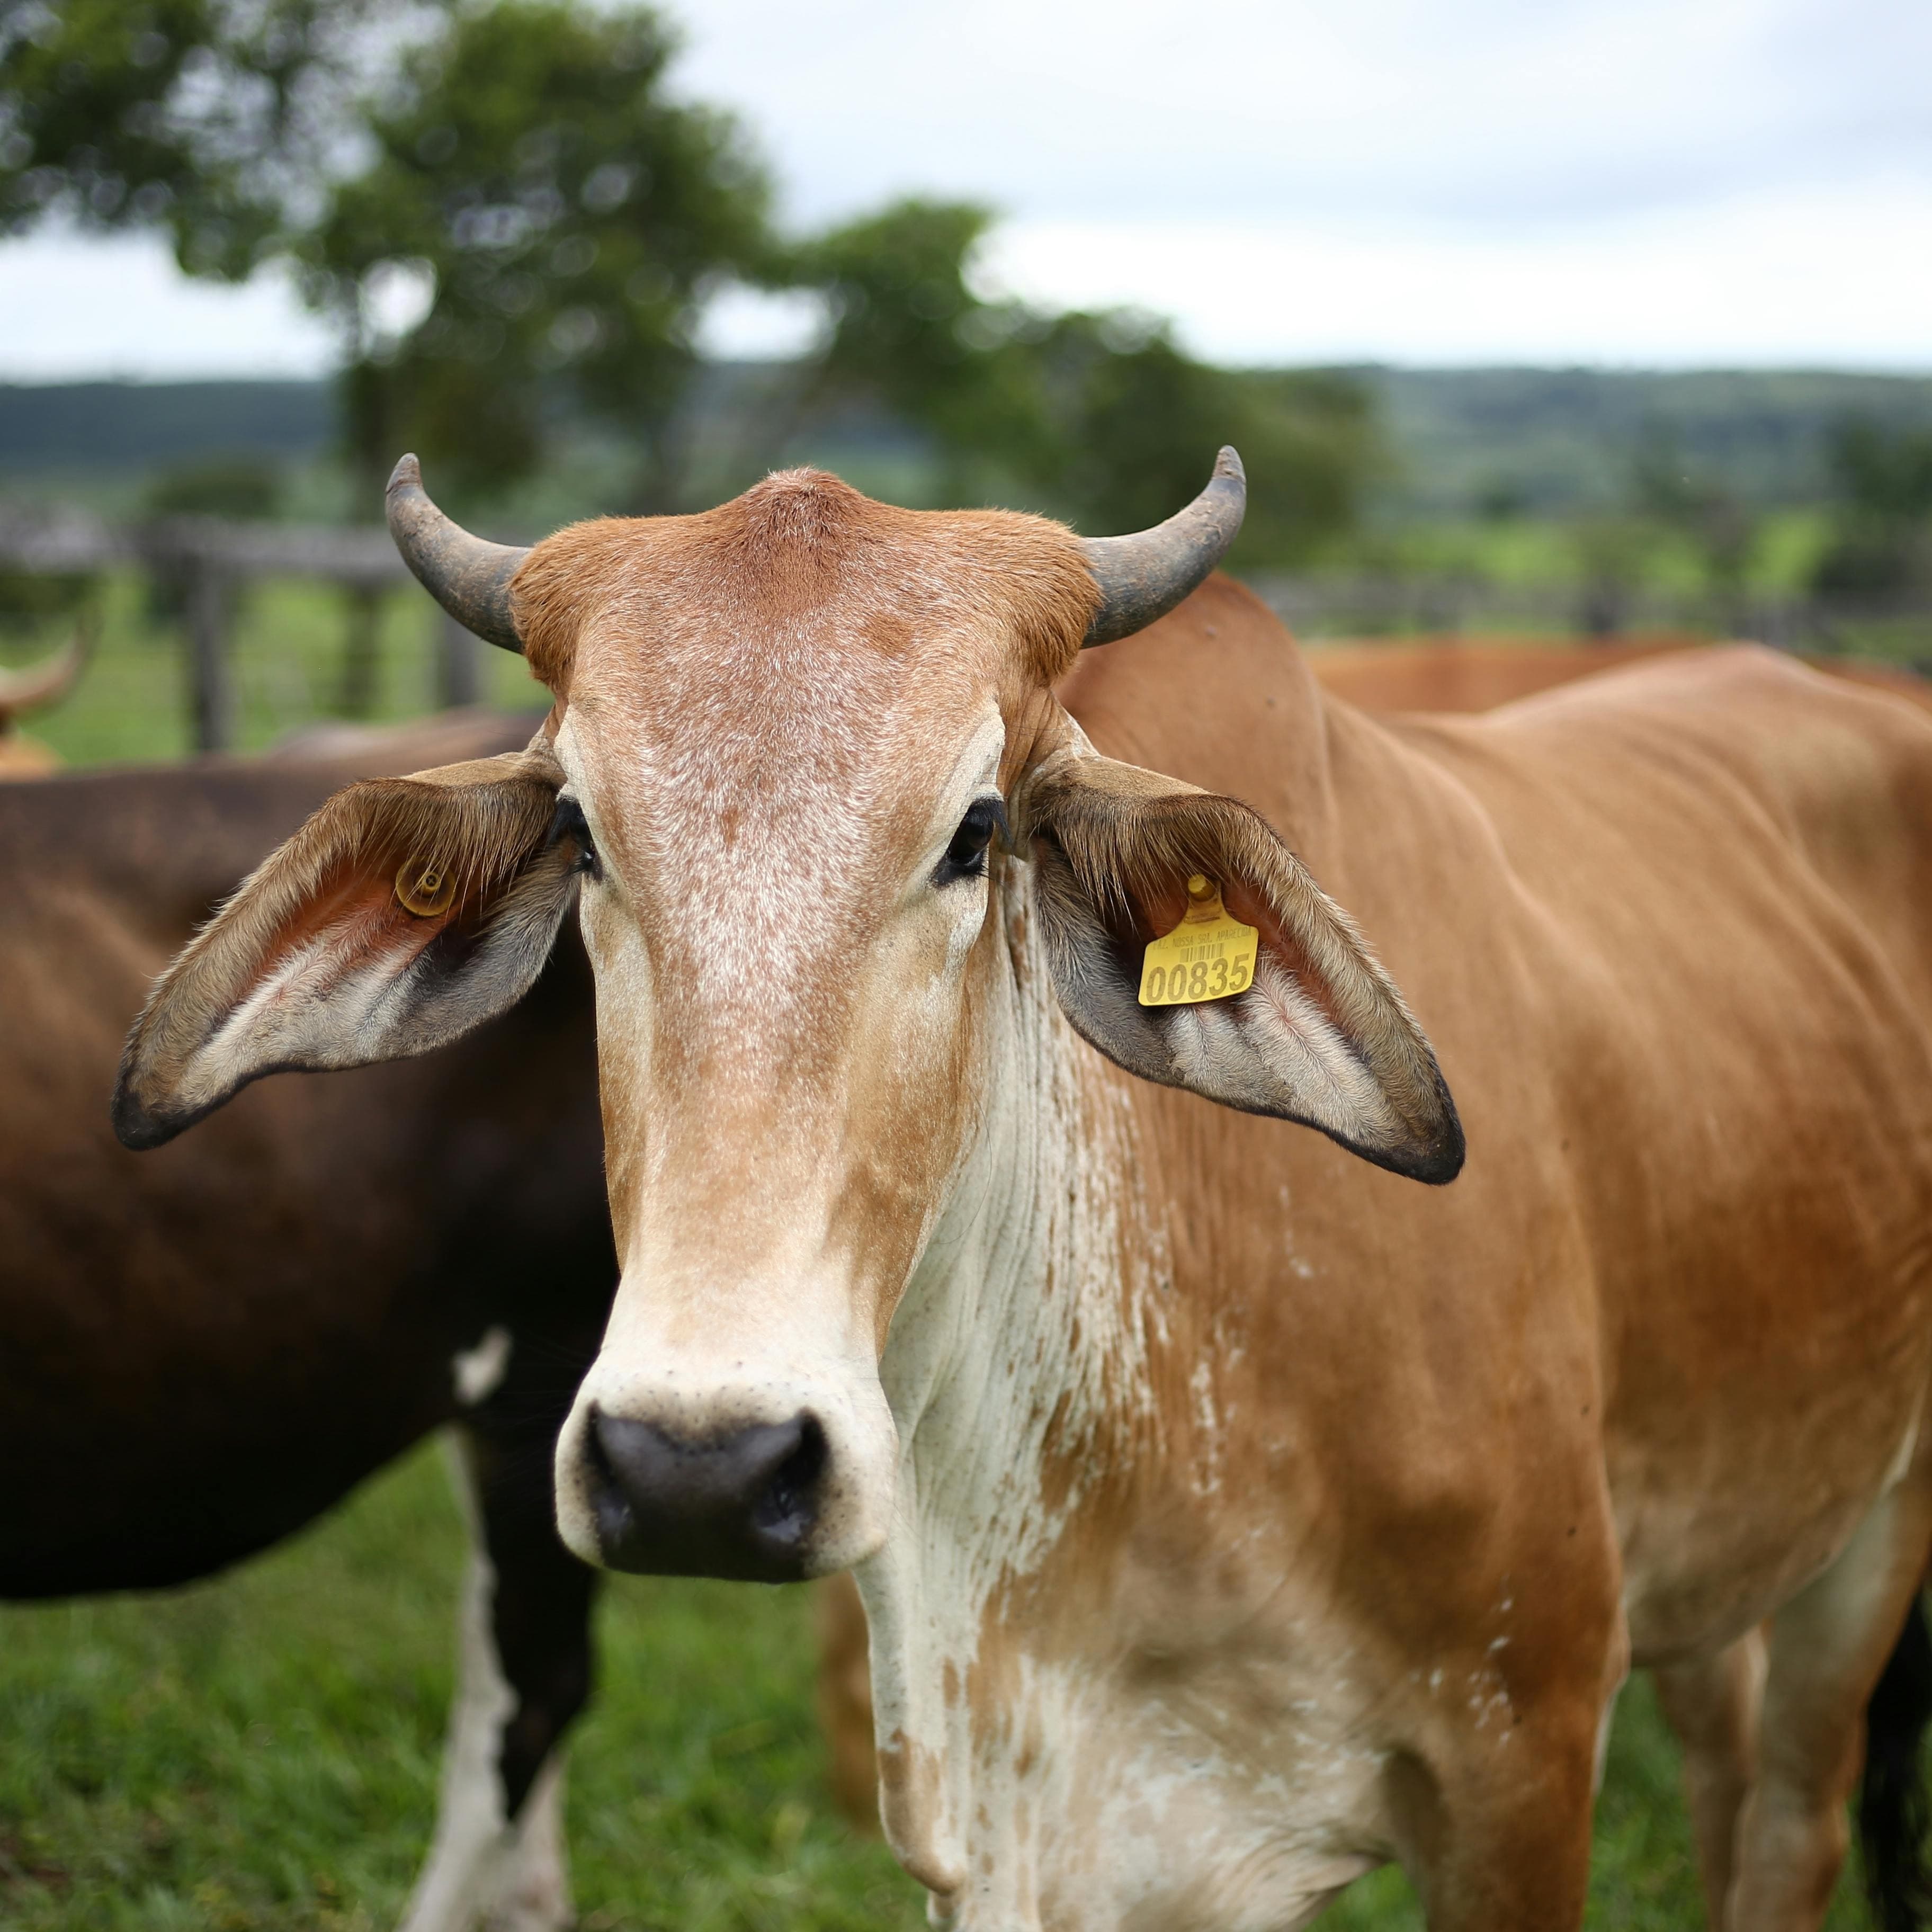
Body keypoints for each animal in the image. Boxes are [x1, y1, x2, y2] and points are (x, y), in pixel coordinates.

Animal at [113, 449, 1932, 1931]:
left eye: (976, 830)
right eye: (578, 833)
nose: (698, 1468)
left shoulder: (1525, 1754)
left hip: (1868, 1548)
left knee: (1791, 1826)